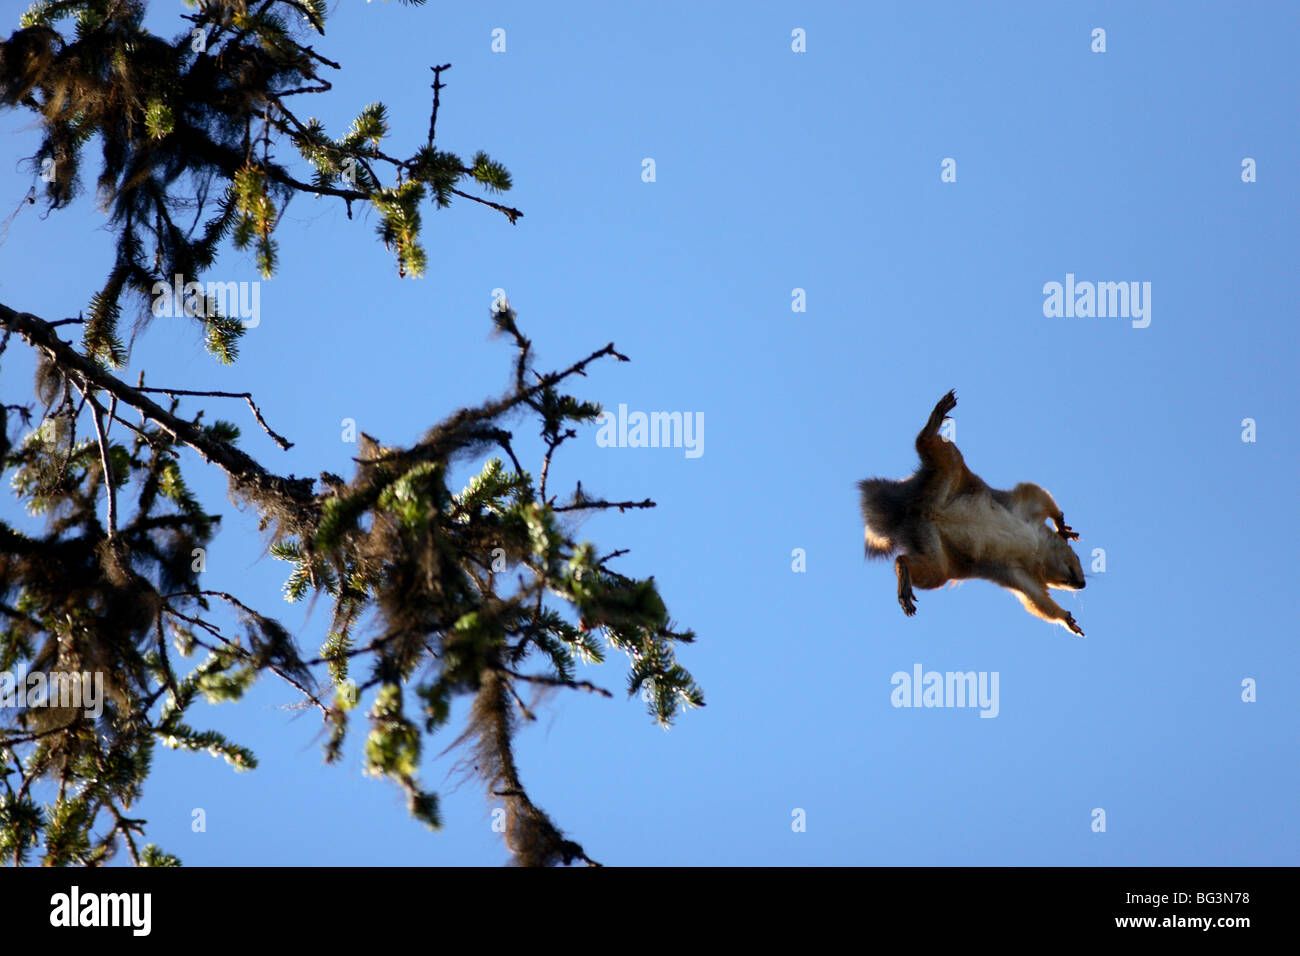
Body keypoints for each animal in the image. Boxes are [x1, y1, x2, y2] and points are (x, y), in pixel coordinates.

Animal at [858, 390, 1087, 636]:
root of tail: (914, 510)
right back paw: (936, 419)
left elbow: (1037, 600)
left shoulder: (1018, 574)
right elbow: (1038, 495)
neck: (1036, 547)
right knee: (925, 443)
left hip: (935, 555)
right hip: (952, 467)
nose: (1082, 584)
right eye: (1076, 557)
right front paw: (1062, 526)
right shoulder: (1024, 509)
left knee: (916, 562)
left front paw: (1065, 617)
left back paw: (904, 569)